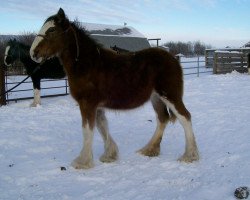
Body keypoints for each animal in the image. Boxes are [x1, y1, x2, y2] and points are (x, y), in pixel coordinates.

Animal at [29, 8, 199, 170]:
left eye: (51, 30)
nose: (33, 53)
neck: (88, 65)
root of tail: (173, 59)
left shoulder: (87, 104)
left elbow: (87, 130)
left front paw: (83, 162)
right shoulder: (96, 106)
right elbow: (102, 126)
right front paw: (109, 155)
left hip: (170, 95)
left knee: (185, 117)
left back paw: (189, 155)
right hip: (156, 97)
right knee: (162, 119)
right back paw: (149, 150)